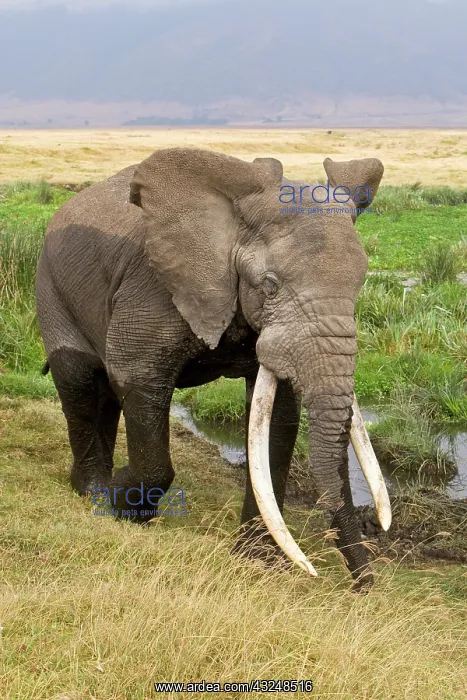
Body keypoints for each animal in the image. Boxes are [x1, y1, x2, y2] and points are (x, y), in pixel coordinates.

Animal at [36, 147, 391, 590]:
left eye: (361, 285)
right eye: (270, 285)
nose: (364, 586)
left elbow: (277, 418)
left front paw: (257, 561)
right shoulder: (150, 287)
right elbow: (137, 378)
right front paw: (122, 506)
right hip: (50, 283)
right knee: (80, 378)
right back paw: (93, 491)